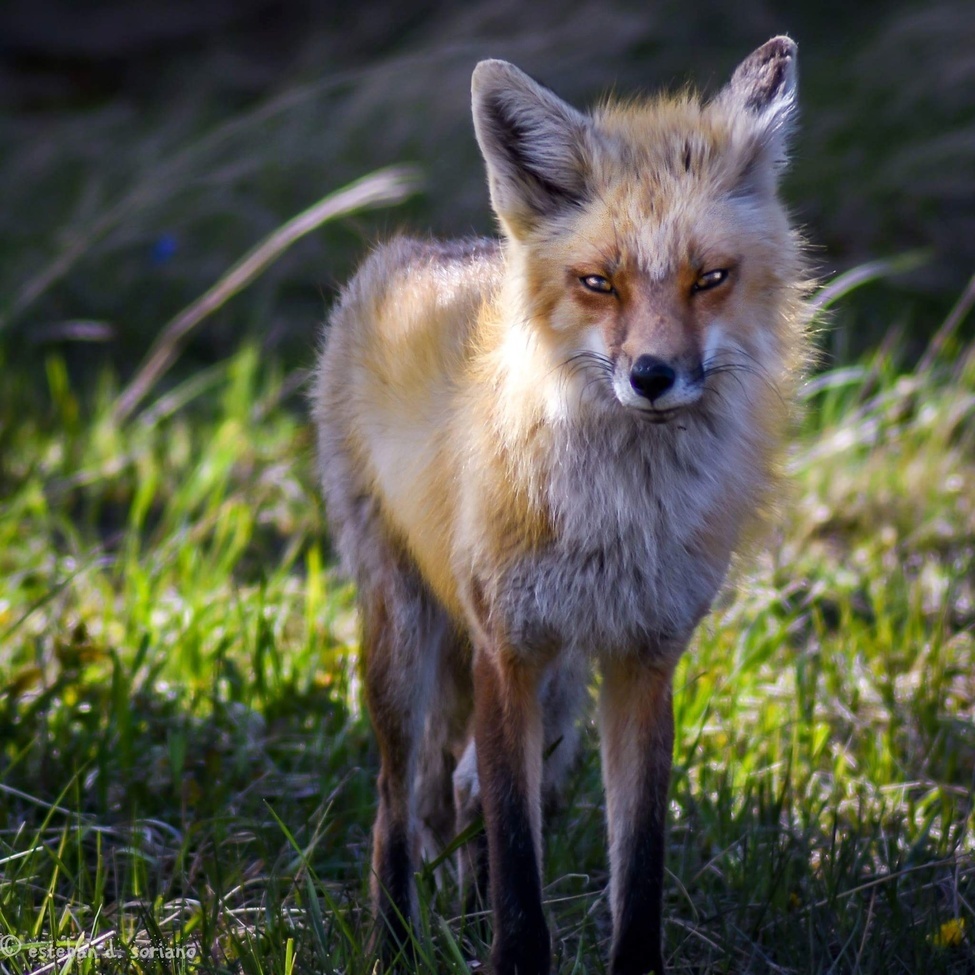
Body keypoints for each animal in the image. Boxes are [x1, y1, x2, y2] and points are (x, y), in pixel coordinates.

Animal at [313, 36, 807, 975]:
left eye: (710, 278)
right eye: (597, 282)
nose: (651, 375)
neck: (618, 517)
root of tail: (419, 249)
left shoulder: (645, 660)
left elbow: (635, 864)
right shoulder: (506, 652)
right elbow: (518, 868)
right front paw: (508, 953)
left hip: (561, 703)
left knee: (460, 788)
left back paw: (458, 916)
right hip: (406, 639)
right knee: (396, 805)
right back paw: (395, 941)